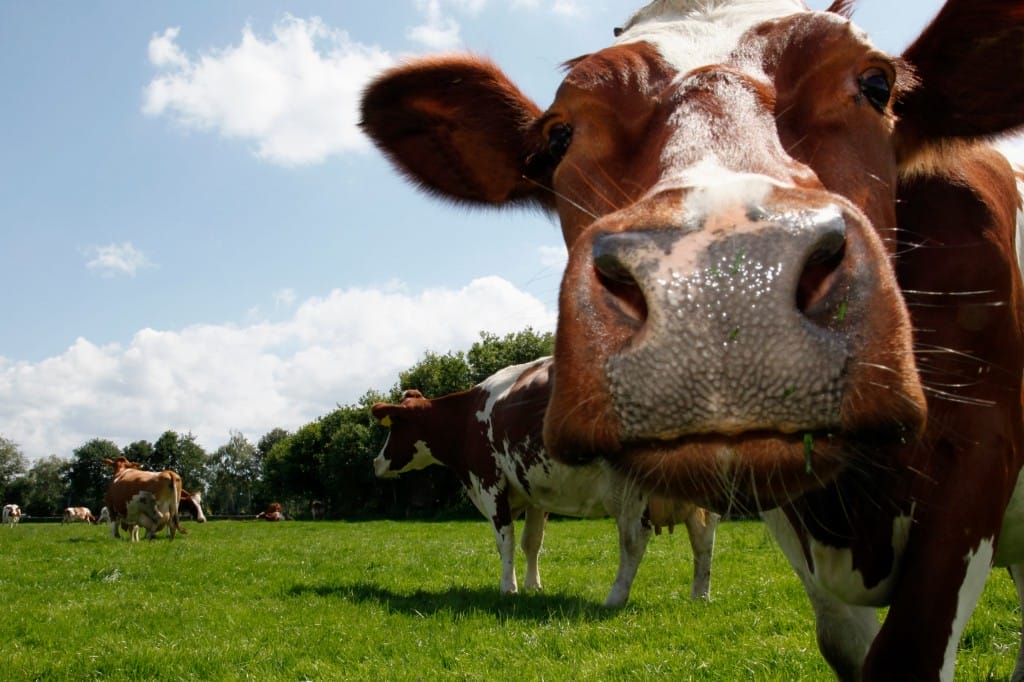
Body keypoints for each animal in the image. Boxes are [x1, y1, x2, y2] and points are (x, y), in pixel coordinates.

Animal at [371, 357, 719, 606]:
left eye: (394, 426)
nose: (376, 462)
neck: (467, 419)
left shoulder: (489, 482)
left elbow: (505, 539)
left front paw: (508, 588)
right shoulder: (535, 491)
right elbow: (532, 541)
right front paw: (533, 586)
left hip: (630, 487)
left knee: (635, 537)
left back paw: (615, 598)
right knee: (704, 537)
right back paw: (699, 596)